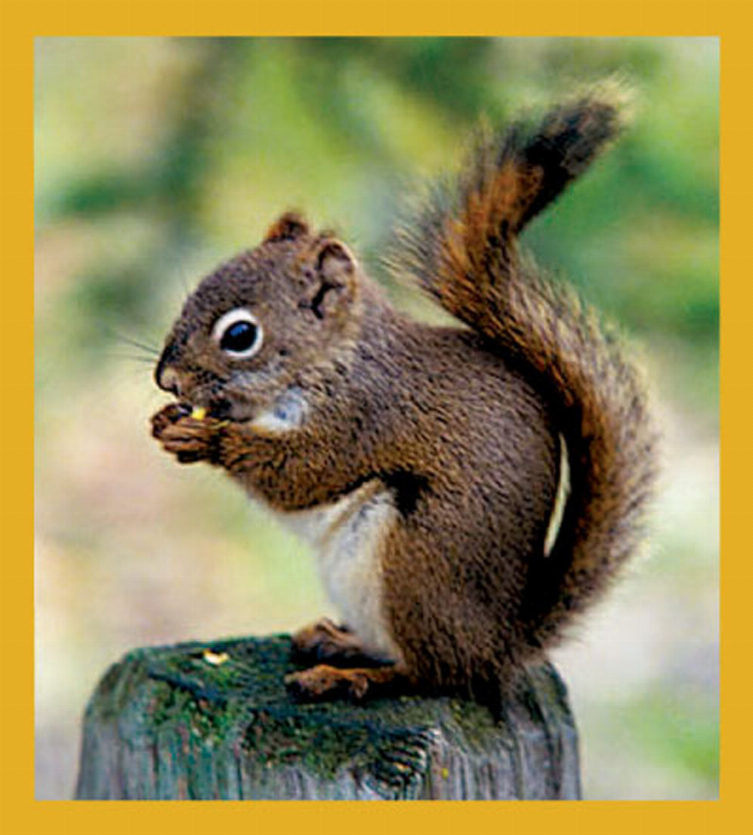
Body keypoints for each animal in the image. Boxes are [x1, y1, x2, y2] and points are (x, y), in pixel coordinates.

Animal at [150, 82, 657, 714]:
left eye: (240, 335)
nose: (167, 379)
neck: (332, 360)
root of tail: (503, 644)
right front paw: (167, 421)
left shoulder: (363, 419)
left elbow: (299, 473)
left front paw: (207, 436)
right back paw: (338, 642)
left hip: (415, 565)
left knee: (437, 675)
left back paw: (349, 677)